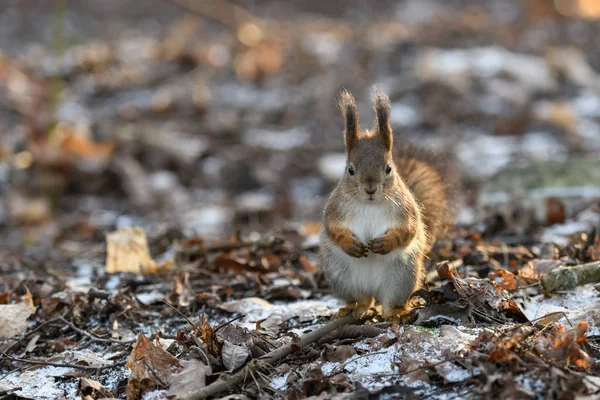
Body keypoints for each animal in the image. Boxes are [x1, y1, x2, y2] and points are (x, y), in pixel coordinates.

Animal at [318, 87, 454, 318]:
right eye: (350, 169)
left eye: (388, 168)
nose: (370, 188)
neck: (369, 204)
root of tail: (373, 290)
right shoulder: (335, 209)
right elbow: (332, 229)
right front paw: (349, 243)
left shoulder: (406, 209)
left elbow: (408, 229)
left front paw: (386, 243)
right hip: (342, 278)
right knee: (361, 299)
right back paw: (353, 308)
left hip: (401, 278)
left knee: (390, 303)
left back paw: (396, 314)